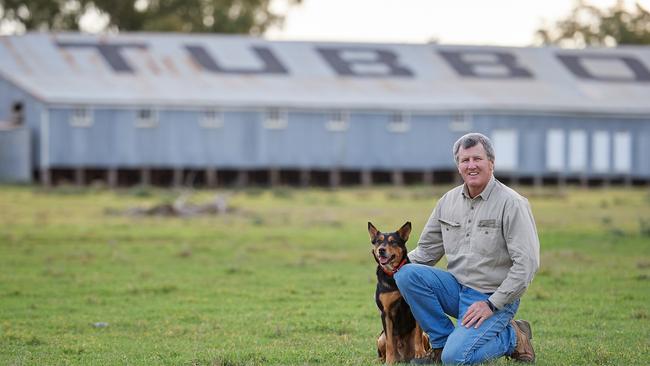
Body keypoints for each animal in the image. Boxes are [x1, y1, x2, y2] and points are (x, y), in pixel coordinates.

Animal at [368, 220, 428, 364]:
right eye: (378, 241)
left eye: (393, 242)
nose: (381, 250)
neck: (394, 274)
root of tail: (404, 357)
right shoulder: (386, 313)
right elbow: (390, 342)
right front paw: (390, 361)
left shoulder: (416, 305)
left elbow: (417, 334)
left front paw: (420, 353)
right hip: (381, 338)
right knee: (384, 349)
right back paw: (382, 360)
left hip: (426, 335)